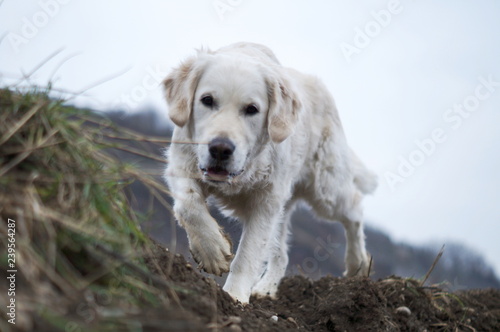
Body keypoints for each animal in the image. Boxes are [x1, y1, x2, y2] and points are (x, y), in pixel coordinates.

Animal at [162, 42, 376, 304]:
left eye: (252, 109)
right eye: (207, 100)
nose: (220, 149)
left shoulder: (265, 201)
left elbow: (248, 254)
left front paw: (234, 297)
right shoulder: (181, 163)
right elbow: (188, 206)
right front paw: (212, 252)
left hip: (325, 190)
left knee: (354, 208)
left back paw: (358, 263)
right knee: (282, 254)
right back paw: (266, 288)